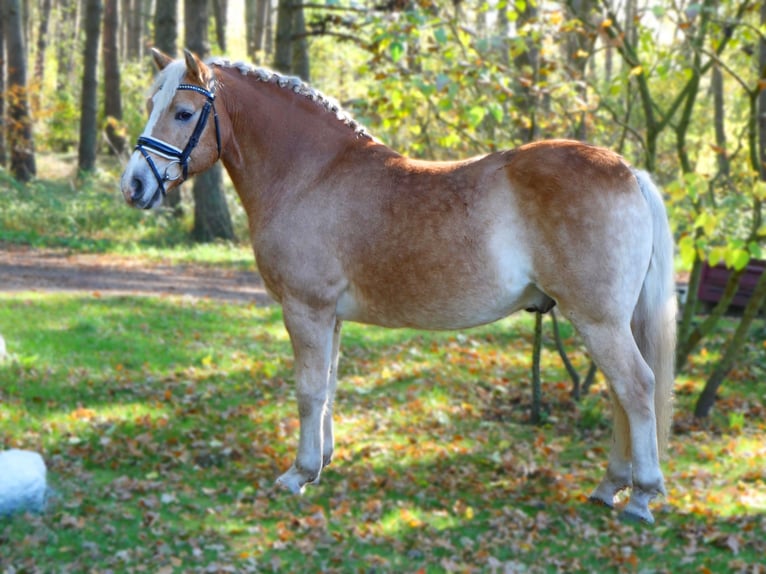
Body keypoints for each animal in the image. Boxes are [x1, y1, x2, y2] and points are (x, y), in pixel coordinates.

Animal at [120, 50, 680, 528]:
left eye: (184, 112)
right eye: (151, 105)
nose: (133, 186)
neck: (312, 175)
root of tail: (629, 172)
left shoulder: (306, 310)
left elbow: (308, 391)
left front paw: (298, 473)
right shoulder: (331, 317)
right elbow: (328, 387)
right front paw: (322, 462)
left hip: (597, 320)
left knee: (636, 388)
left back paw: (642, 495)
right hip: (607, 323)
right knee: (620, 394)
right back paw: (610, 486)